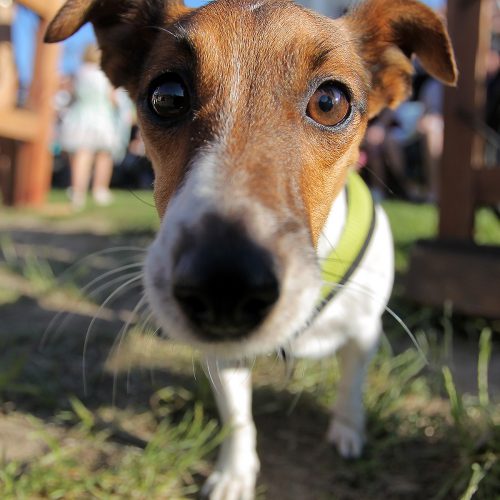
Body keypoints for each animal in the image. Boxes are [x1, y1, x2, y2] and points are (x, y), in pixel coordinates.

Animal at [47, 1, 458, 498]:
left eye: (330, 102)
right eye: (167, 96)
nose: (224, 284)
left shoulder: (364, 333)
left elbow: (350, 387)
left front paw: (348, 429)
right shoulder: (223, 359)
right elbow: (239, 420)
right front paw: (234, 473)